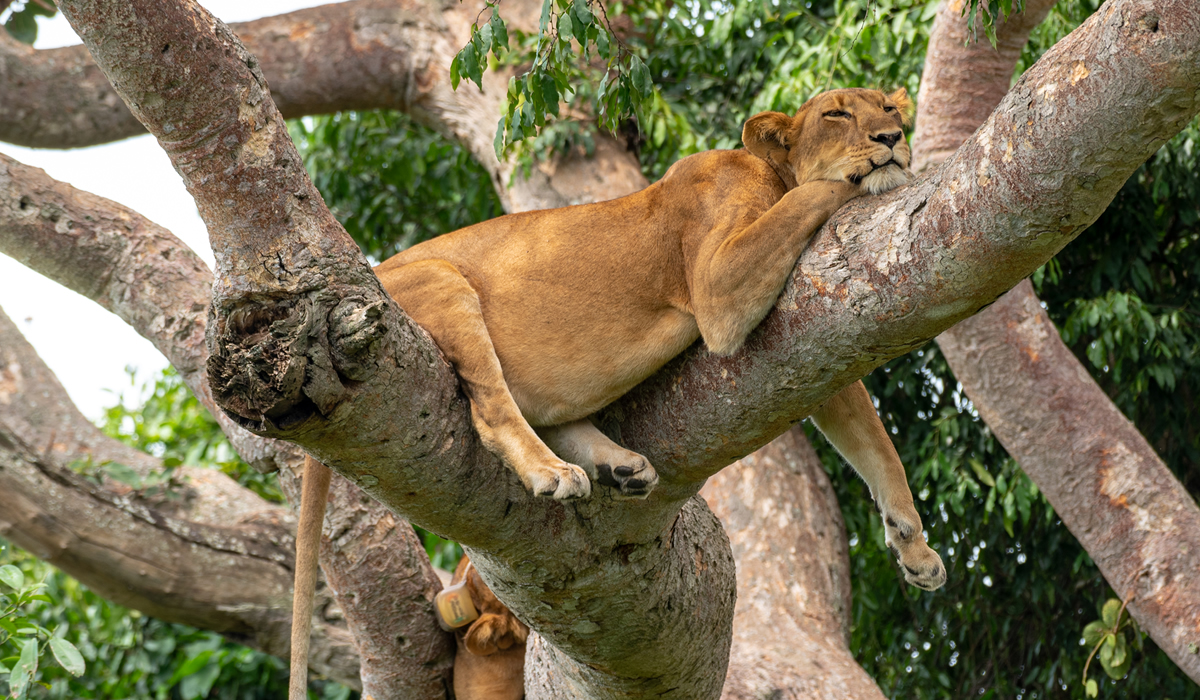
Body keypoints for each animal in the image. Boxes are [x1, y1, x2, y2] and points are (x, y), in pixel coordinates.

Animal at [289, 88, 946, 698]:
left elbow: (877, 449)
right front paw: (883, 175)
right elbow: (816, 196)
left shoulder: (809, 339)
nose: (892, 135)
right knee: (493, 410)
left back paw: (621, 467)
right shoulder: (719, 288)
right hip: (442, 281)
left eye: (887, 106)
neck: (772, 171)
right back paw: (553, 472)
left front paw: (914, 549)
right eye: (837, 114)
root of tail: (367, 275)